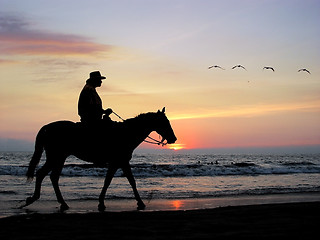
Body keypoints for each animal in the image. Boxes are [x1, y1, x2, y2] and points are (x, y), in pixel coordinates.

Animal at [21, 108, 178, 211]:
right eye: (165, 122)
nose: (174, 139)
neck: (126, 133)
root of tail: (47, 127)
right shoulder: (119, 162)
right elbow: (119, 181)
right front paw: (139, 202)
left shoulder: (119, 162)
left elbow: (120, 180)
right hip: (56, 157)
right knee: (44, 174)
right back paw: (35, 199)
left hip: (59, 158)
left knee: (51, 176)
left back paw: (59, 202)